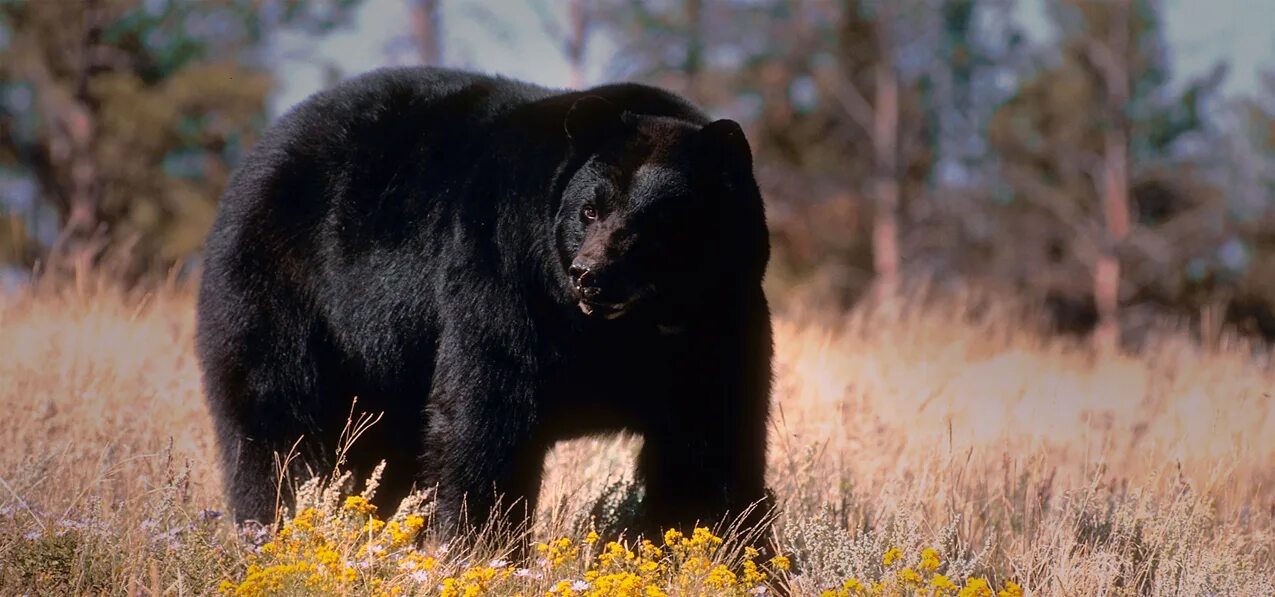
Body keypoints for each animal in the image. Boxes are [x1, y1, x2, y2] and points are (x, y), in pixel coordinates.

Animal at [197, 66, 770, 535]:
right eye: (589, 210)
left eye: (657, 223)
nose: (591, 276)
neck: (618, 329)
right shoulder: (504, 273)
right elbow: (487, 410)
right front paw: (481, 544)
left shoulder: (721, 316)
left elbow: (709, 433)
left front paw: (710, 541)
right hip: (283, 295)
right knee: (276, 418)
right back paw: (281, 526)